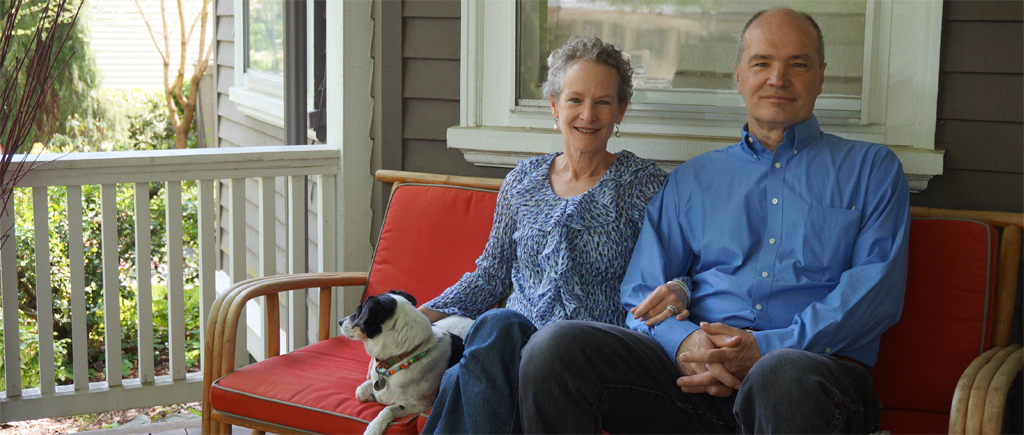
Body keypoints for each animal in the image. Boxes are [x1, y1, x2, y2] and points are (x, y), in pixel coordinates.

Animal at [342, 288, 473, 433]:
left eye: (358, 311)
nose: (340, 321)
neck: (401, 357)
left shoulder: (421, 406)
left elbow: (389, 409)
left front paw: (374, 428)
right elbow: (360, 391)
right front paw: (372, 396)